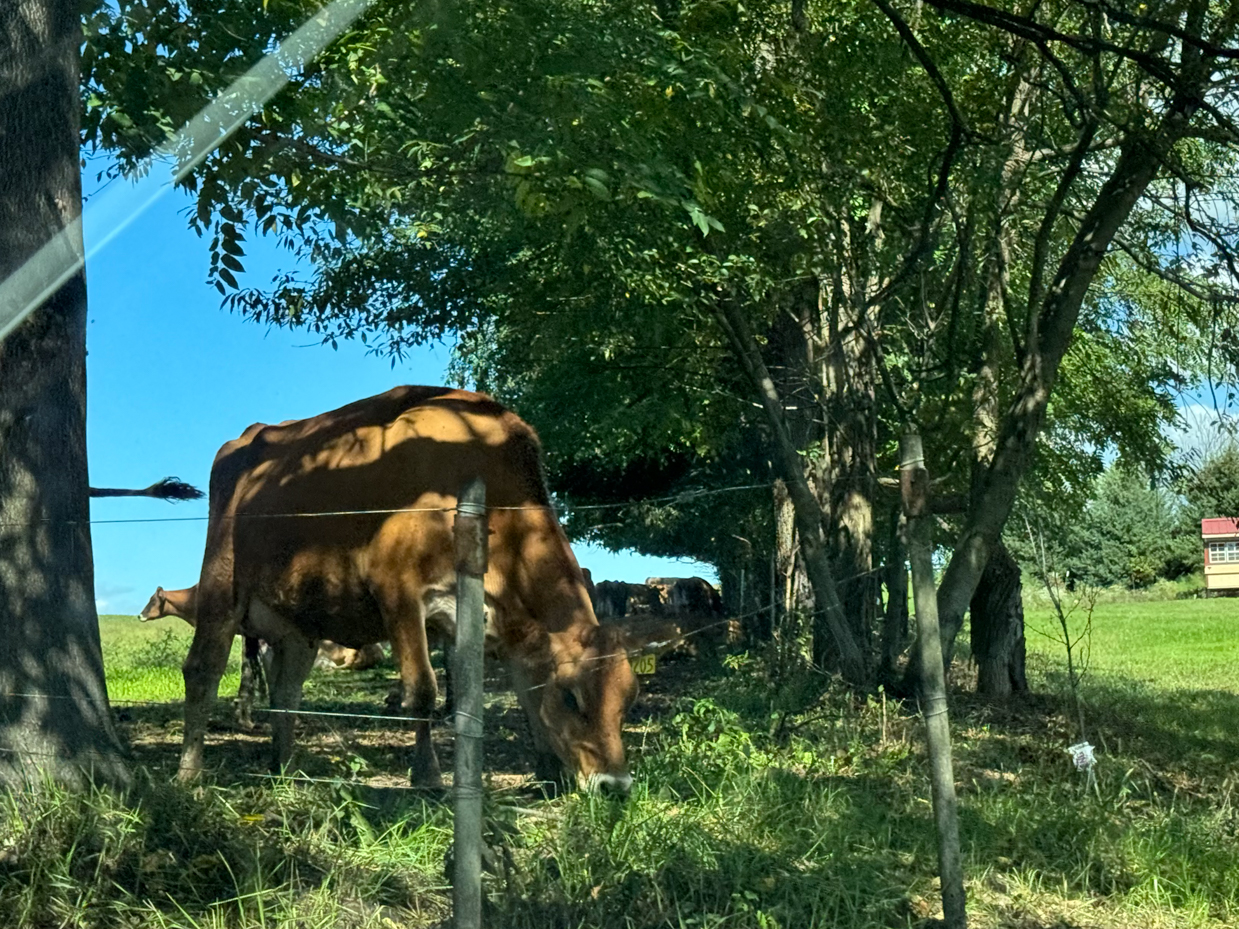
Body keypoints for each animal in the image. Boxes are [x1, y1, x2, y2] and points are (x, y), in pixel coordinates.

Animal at [180, 386, 644, 792]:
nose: (615, 786)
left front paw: (542, 773)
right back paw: (190, 771)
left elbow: (498, 700)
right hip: (221, 586)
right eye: (570, 696)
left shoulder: (483, 623)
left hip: (301, 625)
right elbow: (422, 691)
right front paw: (428, 776)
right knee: (203, 669)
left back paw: (286, 768)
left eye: (627, 699)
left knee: (286, 691)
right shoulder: (400, 594)